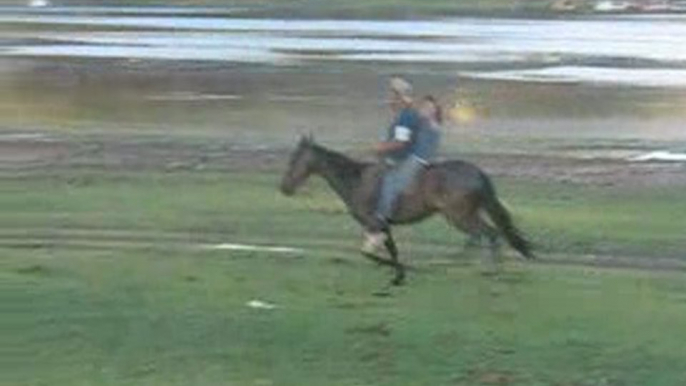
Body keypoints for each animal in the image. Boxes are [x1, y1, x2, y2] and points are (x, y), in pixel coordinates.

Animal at [278, 137, 532, 284]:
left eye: (294, 158)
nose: (284, 187)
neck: (356, 180)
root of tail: (477, 173)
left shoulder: (374, 223)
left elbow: (373, 253)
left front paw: (400, 272)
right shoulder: (382, 226)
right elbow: (392, 251)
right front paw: (400, 273)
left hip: (459, 215)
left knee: (487, 234)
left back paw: (489, 270)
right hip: (465, 215)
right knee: (482, 236)